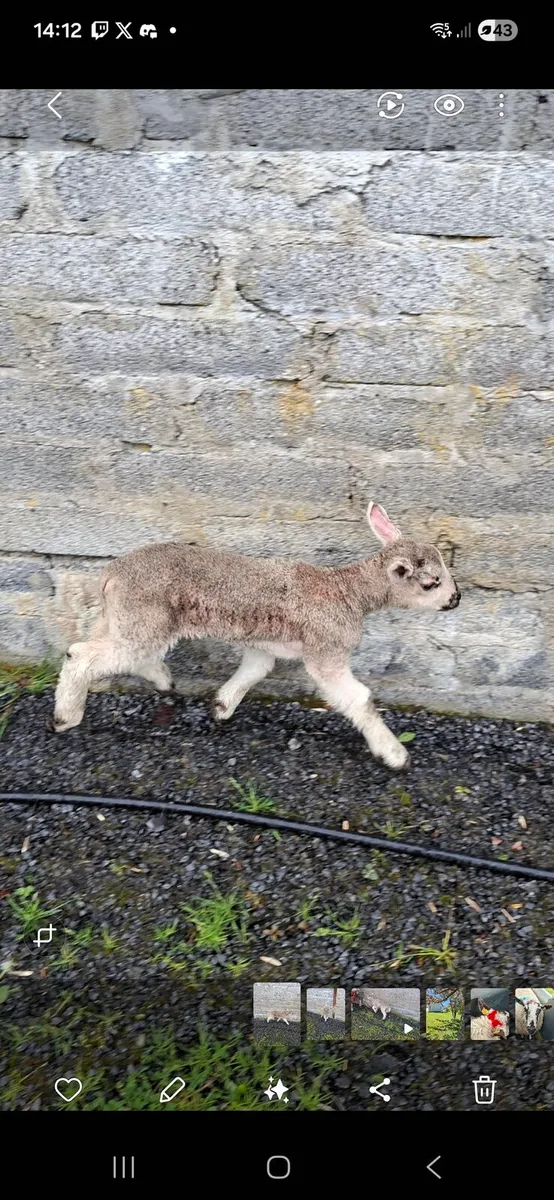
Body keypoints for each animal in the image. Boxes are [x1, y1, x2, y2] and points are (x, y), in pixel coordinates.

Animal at [53, 500, 460, 771]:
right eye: (431, 583)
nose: (456, 599)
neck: (348, 593)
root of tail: (109, 576)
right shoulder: (325, 648)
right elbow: (359, 699)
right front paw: (394, 754)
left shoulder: (263, 645)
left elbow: (255, 671)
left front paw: (222, 707)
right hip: (143, 617)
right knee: (82, 655)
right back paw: (65, 716)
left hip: (123, 617)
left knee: (117, 651)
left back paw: (162, 679)